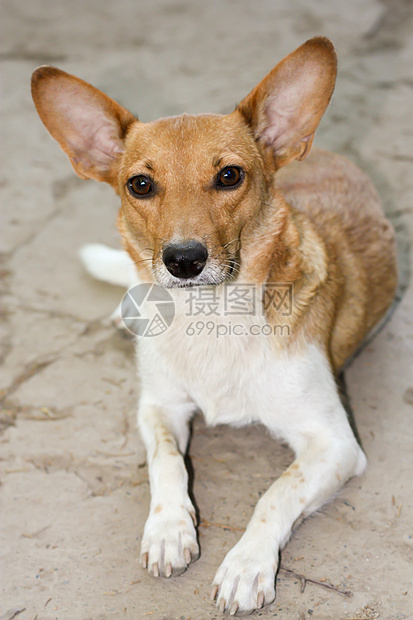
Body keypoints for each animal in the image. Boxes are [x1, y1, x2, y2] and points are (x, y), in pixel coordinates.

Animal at [31, 38, 396, 616]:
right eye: (140, 184)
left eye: (229, 176)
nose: (183, 260)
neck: (211, 319)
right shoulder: (158, 406)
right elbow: (166, 463)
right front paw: (168, 530)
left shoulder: (335, 444)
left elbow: (276, 493)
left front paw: (246, 564)